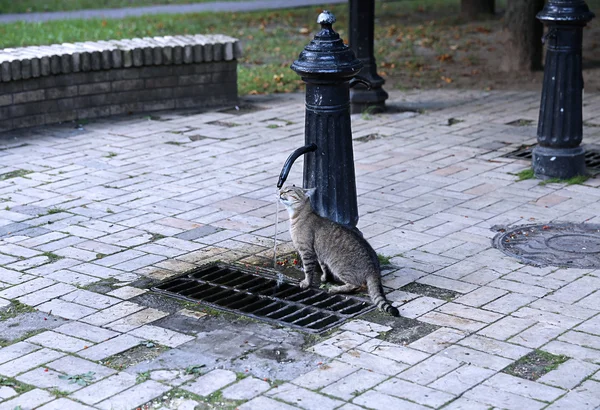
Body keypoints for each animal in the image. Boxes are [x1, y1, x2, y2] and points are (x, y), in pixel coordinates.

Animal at [278, 186, 400, 318]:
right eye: (283, 188)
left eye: (289, 190)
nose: (280, 191)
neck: (299, 215)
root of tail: (373, 269)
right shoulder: (320, 254)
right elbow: (324, 267)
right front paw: (325, 278)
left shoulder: (307, 251)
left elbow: (308, 270)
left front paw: (306, 283)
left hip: (340, 267)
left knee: (355, 285)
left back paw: (335, 289)